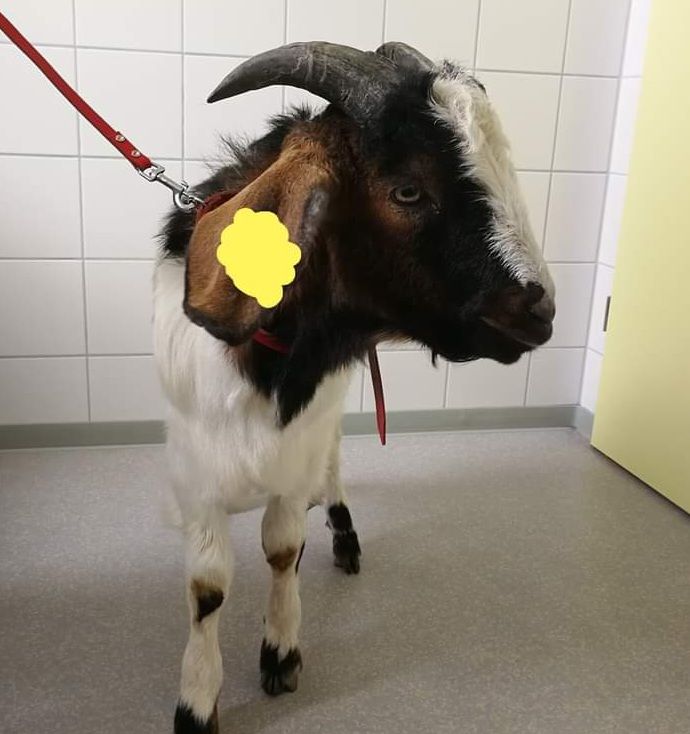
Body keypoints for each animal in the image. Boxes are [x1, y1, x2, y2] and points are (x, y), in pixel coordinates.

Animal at [154, 41, 555, 734]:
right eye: (408, 189)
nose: (541, 310)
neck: (278, 363)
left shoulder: (300, 448)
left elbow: (283, 549)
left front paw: (281, 654)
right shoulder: (195, 468)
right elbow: (207, 588)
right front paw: (198, 701)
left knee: (335, 467)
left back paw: (341, 531)